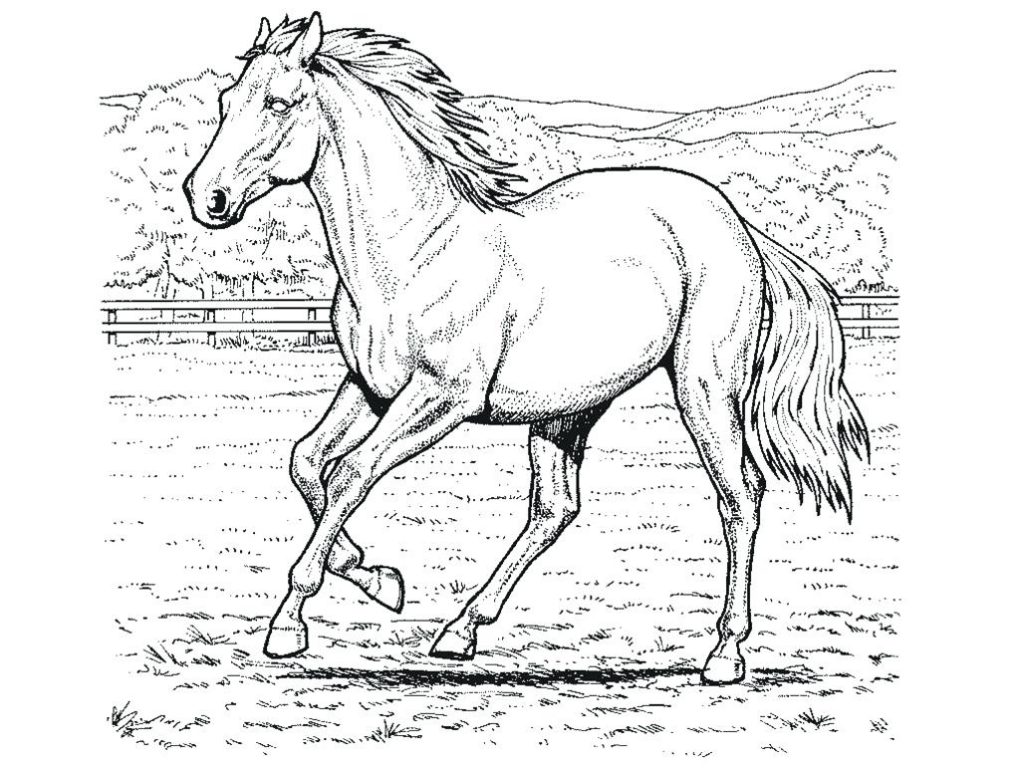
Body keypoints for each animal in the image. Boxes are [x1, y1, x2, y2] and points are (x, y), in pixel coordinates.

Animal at [183, 13, 868, 685]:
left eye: (278, 102)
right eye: (225, 100)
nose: (204, 197)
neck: (414, 253)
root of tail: (738, 225)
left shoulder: (441, 399)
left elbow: (350, 473)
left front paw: (290, 625)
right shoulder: (369, 388)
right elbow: (305, 462)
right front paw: (378, 578)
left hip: (705, 388)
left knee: (739, 496)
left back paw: (724, 654)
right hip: (567, 410)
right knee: (555, 508)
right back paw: (460, 631)